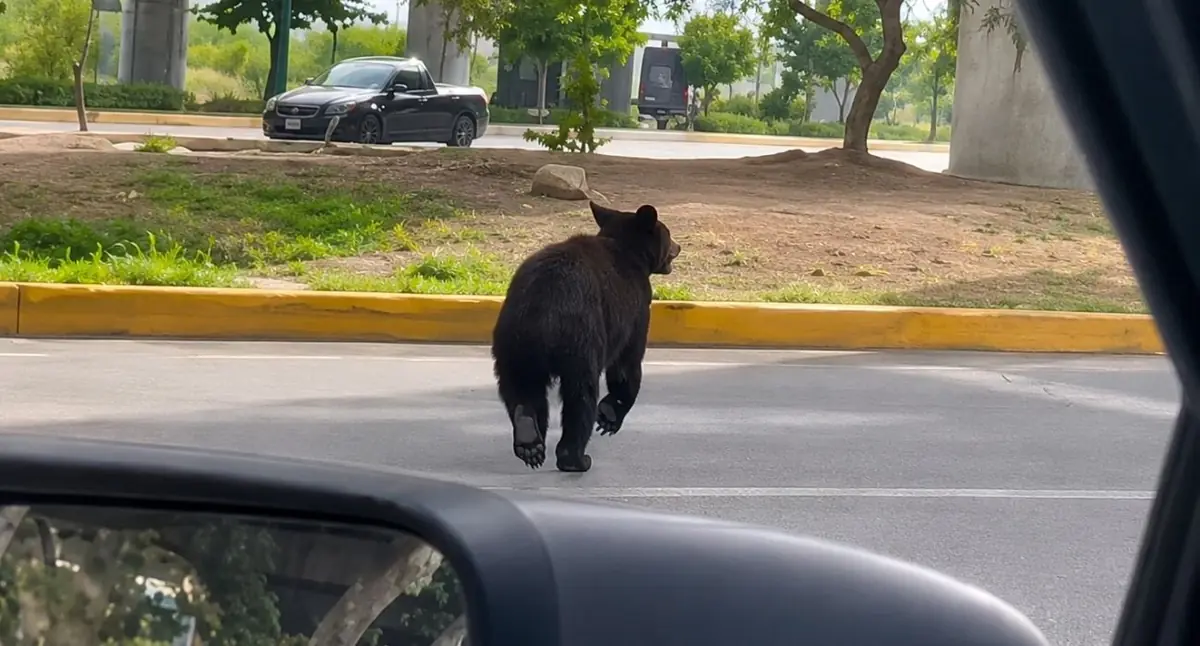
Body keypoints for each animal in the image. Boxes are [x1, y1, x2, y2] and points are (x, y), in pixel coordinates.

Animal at [490, 200, 681, 473]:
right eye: (668, 233)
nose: (679, 246)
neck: (628, 250)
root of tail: (541, 308)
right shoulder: (637, 306)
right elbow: (627, 362)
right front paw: (611, 414)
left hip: (511, 342)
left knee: (521, 388)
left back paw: (529, 440)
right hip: (581, 338)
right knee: (580, 396)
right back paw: (575, 458)